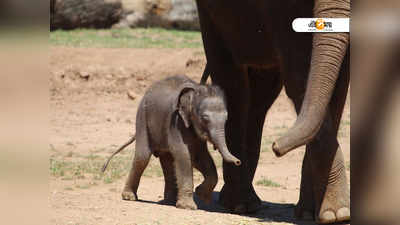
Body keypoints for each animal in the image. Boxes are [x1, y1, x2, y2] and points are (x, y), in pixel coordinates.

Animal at [103, 74, 241, 210]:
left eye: (226, 118)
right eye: (205, 118)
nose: (238, 162)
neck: (195, 91)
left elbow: (200, 157)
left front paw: (202, 195)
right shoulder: (176, 122)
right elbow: (184, 155)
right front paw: (188, 206)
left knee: (168, 160)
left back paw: (169, 201)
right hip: (142, 118)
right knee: (143, 156)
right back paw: (129, 197)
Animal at [195, 0, 350, 223]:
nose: (276, 147)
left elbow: (339, 84)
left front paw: (316, 213)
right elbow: (300, 73)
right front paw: (337, 214)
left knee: (261, 96)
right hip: (210, 15)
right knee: (234, 85)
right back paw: (240, 205)